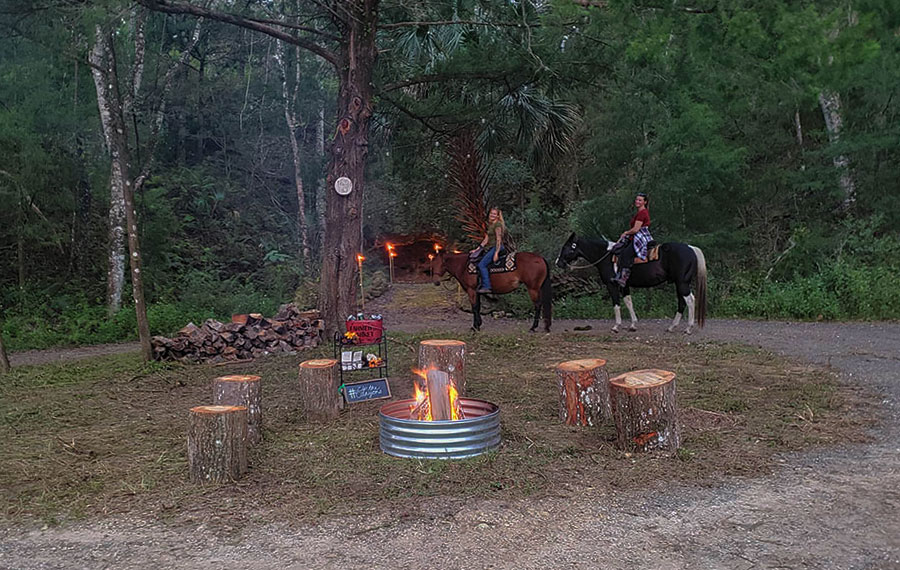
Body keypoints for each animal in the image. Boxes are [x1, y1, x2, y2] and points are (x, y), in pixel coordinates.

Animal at [556, 232, 712, 332]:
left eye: (566, 247)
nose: (558, 263)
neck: (607, 256)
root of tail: (691, 248)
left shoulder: (612, 285)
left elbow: (616, 303)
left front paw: (616, 326)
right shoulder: (624, 285)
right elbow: (628, 301)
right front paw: (633, 325)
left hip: (682, 283)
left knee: (690, 300)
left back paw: (688, 328)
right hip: (679, 283)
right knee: (682, 302)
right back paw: (672, 327)